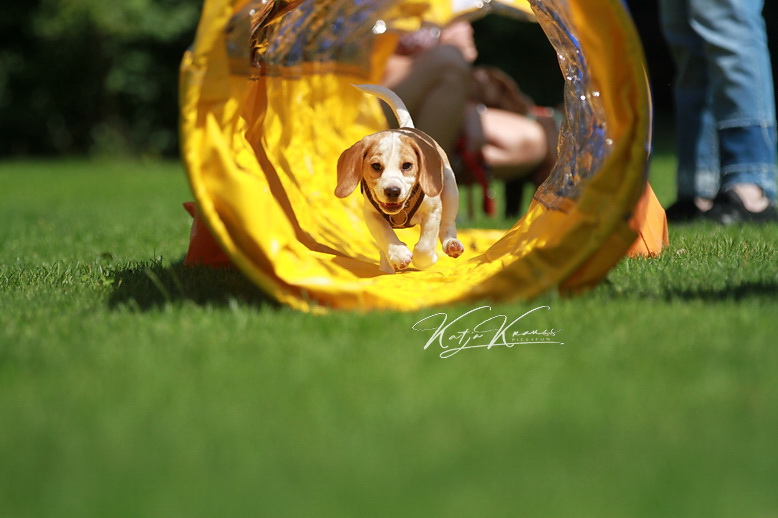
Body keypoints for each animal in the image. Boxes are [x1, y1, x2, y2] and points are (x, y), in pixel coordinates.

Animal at [334, 84, 460, 276]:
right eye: (376, 166)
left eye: (407, 165)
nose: (392, 191)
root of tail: (408, 128)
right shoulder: (371, 214)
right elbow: (384, 235)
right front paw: (398, 254)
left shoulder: (433, 210)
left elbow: (424, 247)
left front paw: (427, 259)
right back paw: (387, 264)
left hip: (450, 188)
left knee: (448, 222)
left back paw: (451, 243)